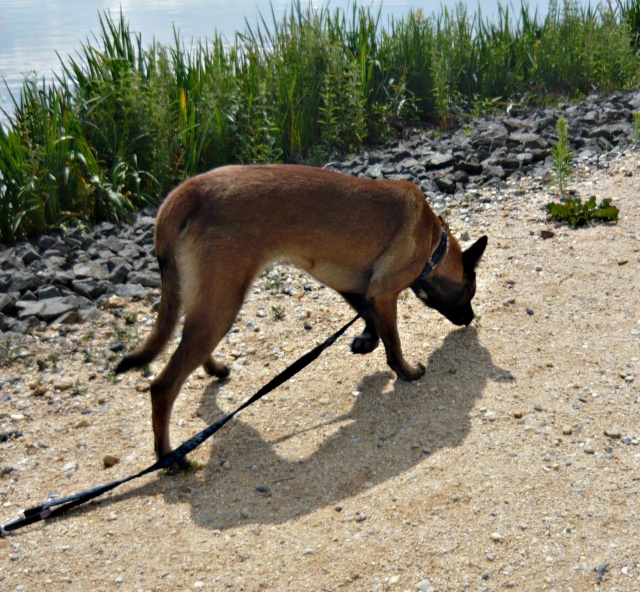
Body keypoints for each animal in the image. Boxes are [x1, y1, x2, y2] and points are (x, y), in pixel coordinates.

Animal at [115, 164, 488, 460]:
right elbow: (394, 345)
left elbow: (369, 318)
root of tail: (191, 189)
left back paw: (215, 369)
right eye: (470, 291)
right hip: (222, 303)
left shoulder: (353, 286)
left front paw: (366, 342)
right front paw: (407, 372)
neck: (433, 240)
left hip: (210, 300)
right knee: (163, 386)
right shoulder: (383, 292)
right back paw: (169, 457)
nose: (470, 319)